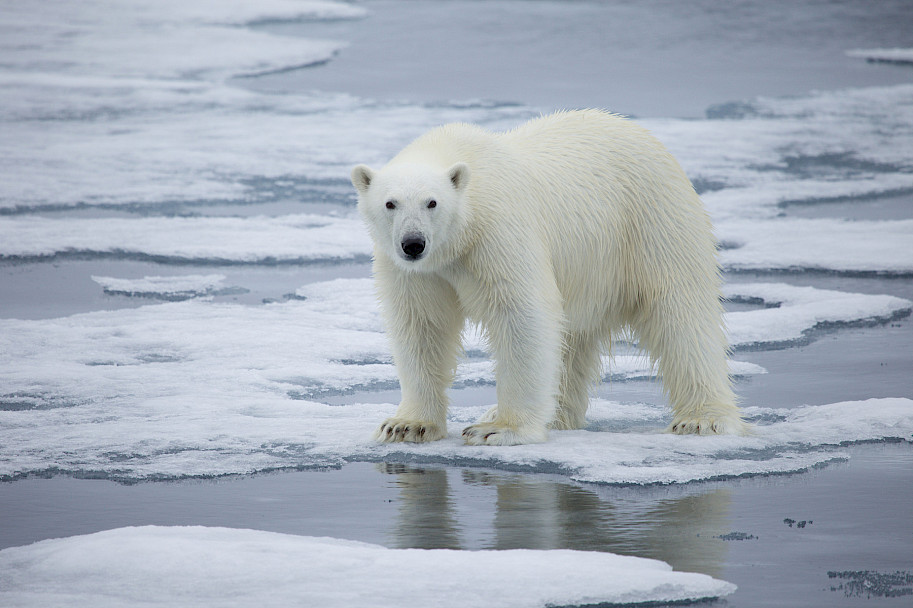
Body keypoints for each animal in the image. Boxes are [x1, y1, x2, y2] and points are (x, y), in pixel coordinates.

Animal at [351, 109, 746, 446]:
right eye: (390, 203)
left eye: (432, 202)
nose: (413, 243)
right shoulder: (415, 271)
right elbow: (421, 325)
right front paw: (406, 425)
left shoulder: (498, 233)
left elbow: (522, 315)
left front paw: (498, 429)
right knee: (571, 340)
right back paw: (555, 415)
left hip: (651, 222)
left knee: (680, 314)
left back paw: (701, 419)